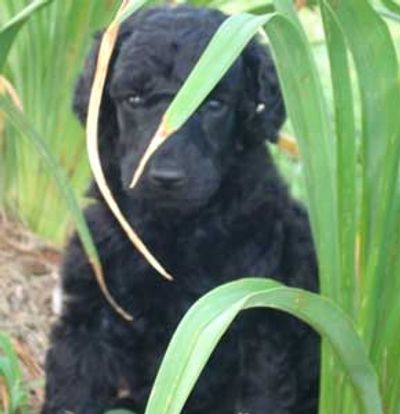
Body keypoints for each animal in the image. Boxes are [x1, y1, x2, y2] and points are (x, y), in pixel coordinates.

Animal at [42, 5, 320, 414]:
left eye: (215, 105)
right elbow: (72, 389)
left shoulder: (253, 327)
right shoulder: (91, 313)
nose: (167, 177)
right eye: (135, 99)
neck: (170, 232)